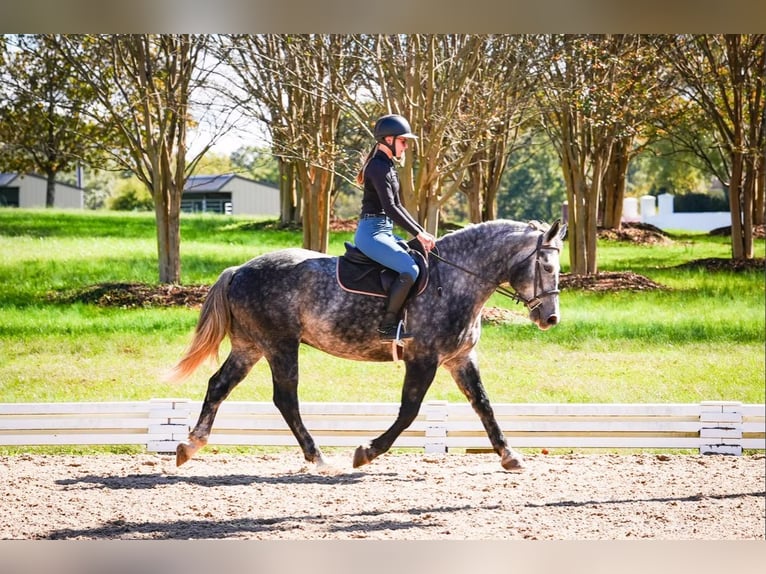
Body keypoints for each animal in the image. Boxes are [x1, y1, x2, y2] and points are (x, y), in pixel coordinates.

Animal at [166, 219, 566, 472]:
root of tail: (239, 270)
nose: (550, 319)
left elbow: (484, 405)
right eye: (547, 267)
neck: (456, 278)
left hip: (250, 346)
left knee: (219, 385)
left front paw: (510, 455)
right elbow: (409, 411)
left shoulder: (461, 358)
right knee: (285, 399)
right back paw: (318, 458)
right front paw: (367, 452)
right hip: (280, 345)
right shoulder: (424, 358)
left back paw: (189, 445)